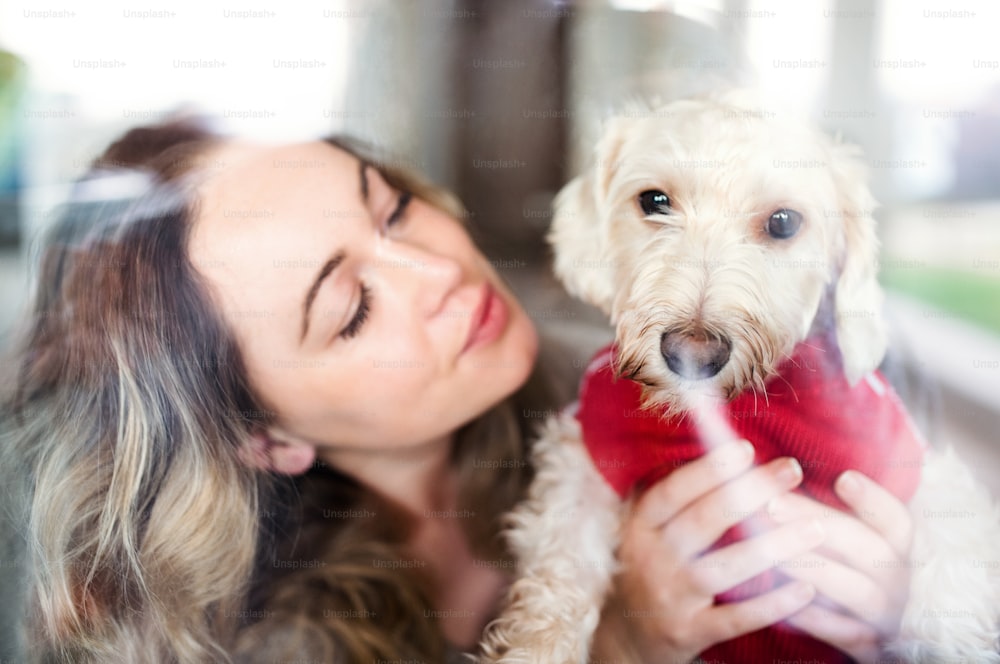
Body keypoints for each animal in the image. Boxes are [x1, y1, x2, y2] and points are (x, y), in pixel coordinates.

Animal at [480, 94, 1000, 664]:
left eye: (784, 222)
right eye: (654, 200)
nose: (693, 353)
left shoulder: (907, 462)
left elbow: (953, 568)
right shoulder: (584, 457)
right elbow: (559, 566)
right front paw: (535, 647)